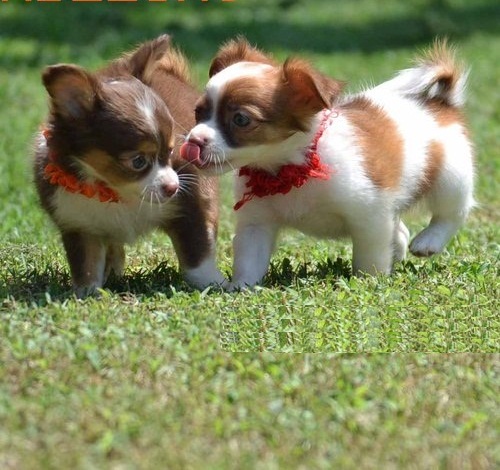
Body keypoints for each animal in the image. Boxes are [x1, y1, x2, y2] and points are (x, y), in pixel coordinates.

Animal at [182, 38, 474, 290]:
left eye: (241, 119)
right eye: (198, 112)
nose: (193, 141)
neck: (290, 169)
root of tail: (440, 102)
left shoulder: (370, 215)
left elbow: (370, 258)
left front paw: (368, 283)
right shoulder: (257, 223)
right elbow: (249, 260)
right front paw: (240, 288)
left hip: (451, 178)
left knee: (453, 213)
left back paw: (429, 241)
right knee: (403, 224)